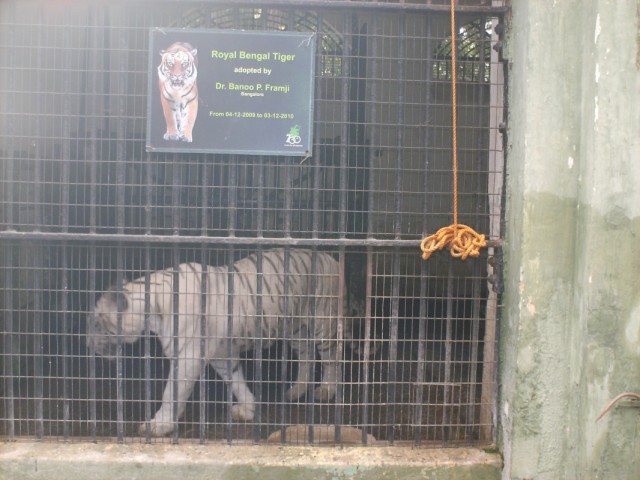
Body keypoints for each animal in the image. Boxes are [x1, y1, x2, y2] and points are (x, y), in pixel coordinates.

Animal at [87, 249, 340, 437]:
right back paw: (296, 390)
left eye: (97, 323)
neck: (152, 310)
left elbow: (170, 393)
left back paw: (326, 390)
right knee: (306, 354)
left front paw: (160, 425)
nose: (88, 345)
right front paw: (248, 409)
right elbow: (236, 381)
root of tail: (329, 256)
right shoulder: (221, 355)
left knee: (331, 358)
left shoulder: (187, 357)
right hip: (294, 328)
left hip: (323, 322)